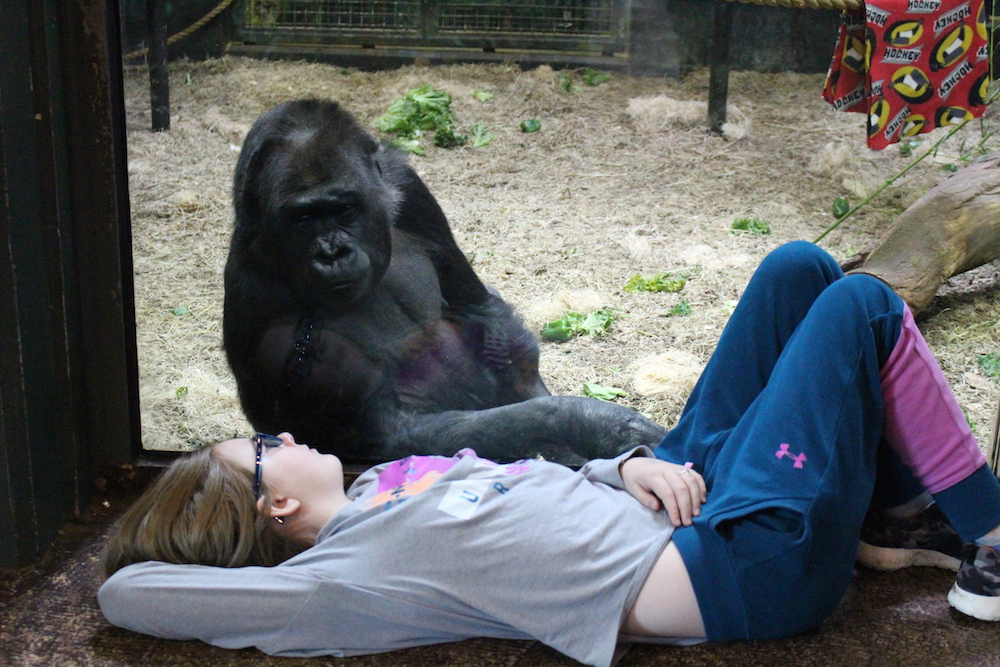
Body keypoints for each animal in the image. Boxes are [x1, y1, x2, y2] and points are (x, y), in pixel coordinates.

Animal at [226, 99, 664, 464]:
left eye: (344, 209)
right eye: (302, 219)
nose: (332, 251)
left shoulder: (405, 182)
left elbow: (478, 310)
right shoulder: (264, 310)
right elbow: (388, 436)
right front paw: (589, 423)